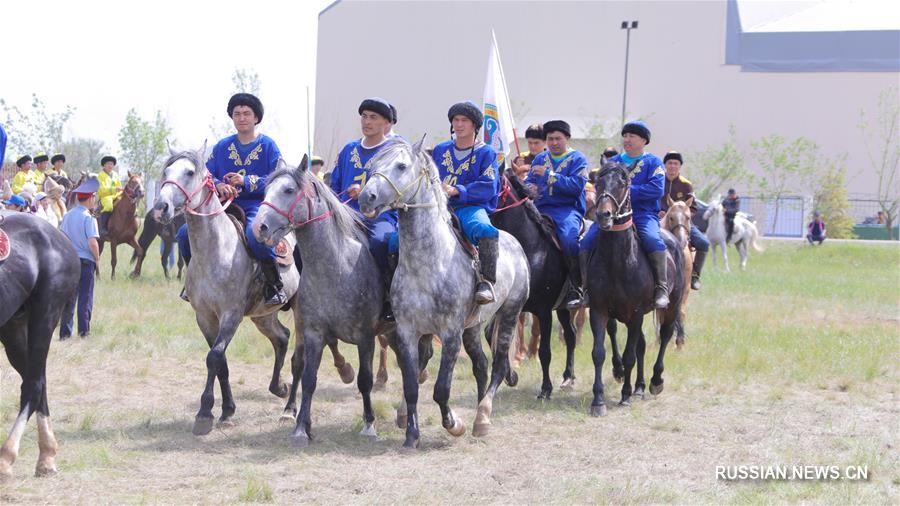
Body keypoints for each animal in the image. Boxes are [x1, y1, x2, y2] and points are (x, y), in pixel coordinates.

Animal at [0, 211, 79, 480]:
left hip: (45, 315)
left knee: (33, 385)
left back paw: (7, 457)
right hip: (13, 329)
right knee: (37, 381)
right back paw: (46, 454)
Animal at [152, 145, 298, 434]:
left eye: (190, 172)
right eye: (166, 170)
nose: (161, 207)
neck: (216, 250)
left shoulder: (231, 315)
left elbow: (214, 357)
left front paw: (205, 413)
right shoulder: (205, 317)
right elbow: (221, 363)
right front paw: (227, 411)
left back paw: (289, 410)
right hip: (264, 315)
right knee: (281, 338)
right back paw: (279, 388)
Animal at [253, 154, 394, 446]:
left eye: (288, 190)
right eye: (266, 189)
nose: (259, 227)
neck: (338, 267)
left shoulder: (365, 336)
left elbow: (364, 380)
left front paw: (369, 424)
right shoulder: (314, 332)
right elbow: (308, 378)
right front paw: (300, 428)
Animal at [356, 136, 528, 448]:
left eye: (401, 166)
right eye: (372, 167)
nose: (367, 198)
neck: (430, 263)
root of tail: (514, 243)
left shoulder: (450, 333)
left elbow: (441, 389)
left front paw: (454, 424)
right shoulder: (408, 331)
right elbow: (411, 385)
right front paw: (411, 435)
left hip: (510, 314)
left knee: (498, 365)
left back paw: (482, 417)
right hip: (473, 327)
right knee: (481, 365)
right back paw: (476, 411)